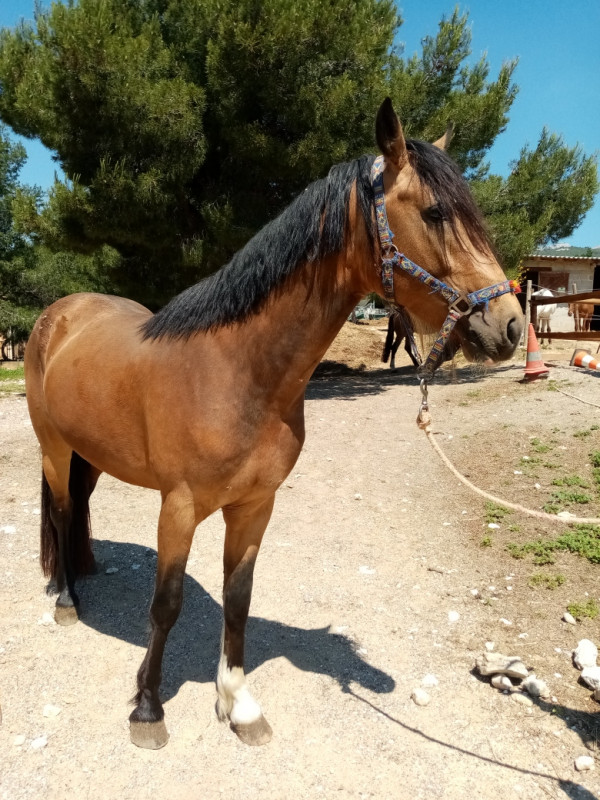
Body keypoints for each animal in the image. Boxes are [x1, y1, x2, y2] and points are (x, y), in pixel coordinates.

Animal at [24, 98, 522, 750]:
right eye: (436, 213)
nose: (510, 325)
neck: (237, 370)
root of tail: (59, 315)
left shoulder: (256, 504)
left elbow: (238, 599)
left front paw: (238, 706)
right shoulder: (178, 507)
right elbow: (167, 604)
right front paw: (148, 710)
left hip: (93, 453)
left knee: (79, 508)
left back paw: (84, 572)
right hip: (55, 448)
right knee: (61, 512)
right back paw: (66, 599)